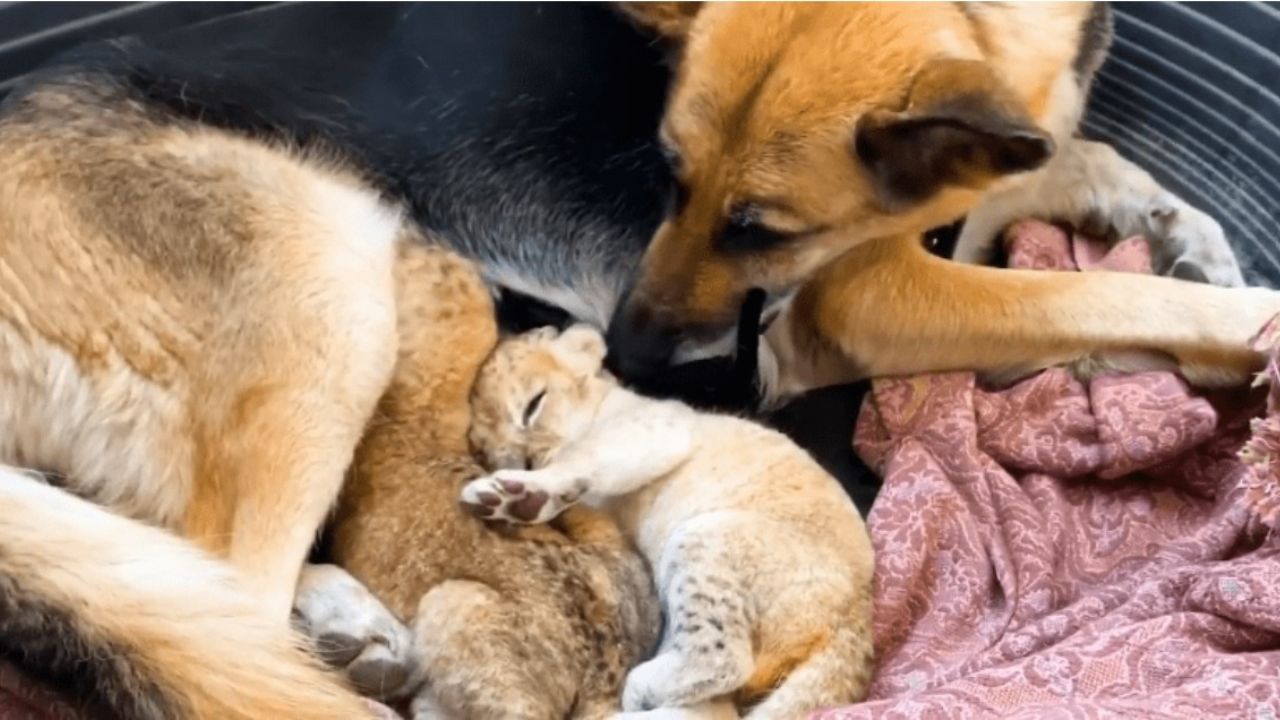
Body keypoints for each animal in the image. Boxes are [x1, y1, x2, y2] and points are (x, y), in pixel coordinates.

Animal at [463, 326, 880, 717]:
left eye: (534, 404)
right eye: (498, 452)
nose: (527, 463)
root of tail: (857, 617)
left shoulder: (656, 430)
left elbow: (582, 457)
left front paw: (520, 494)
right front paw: (520, 498)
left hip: (706, 536)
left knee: (723, 661)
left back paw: (636, 690)